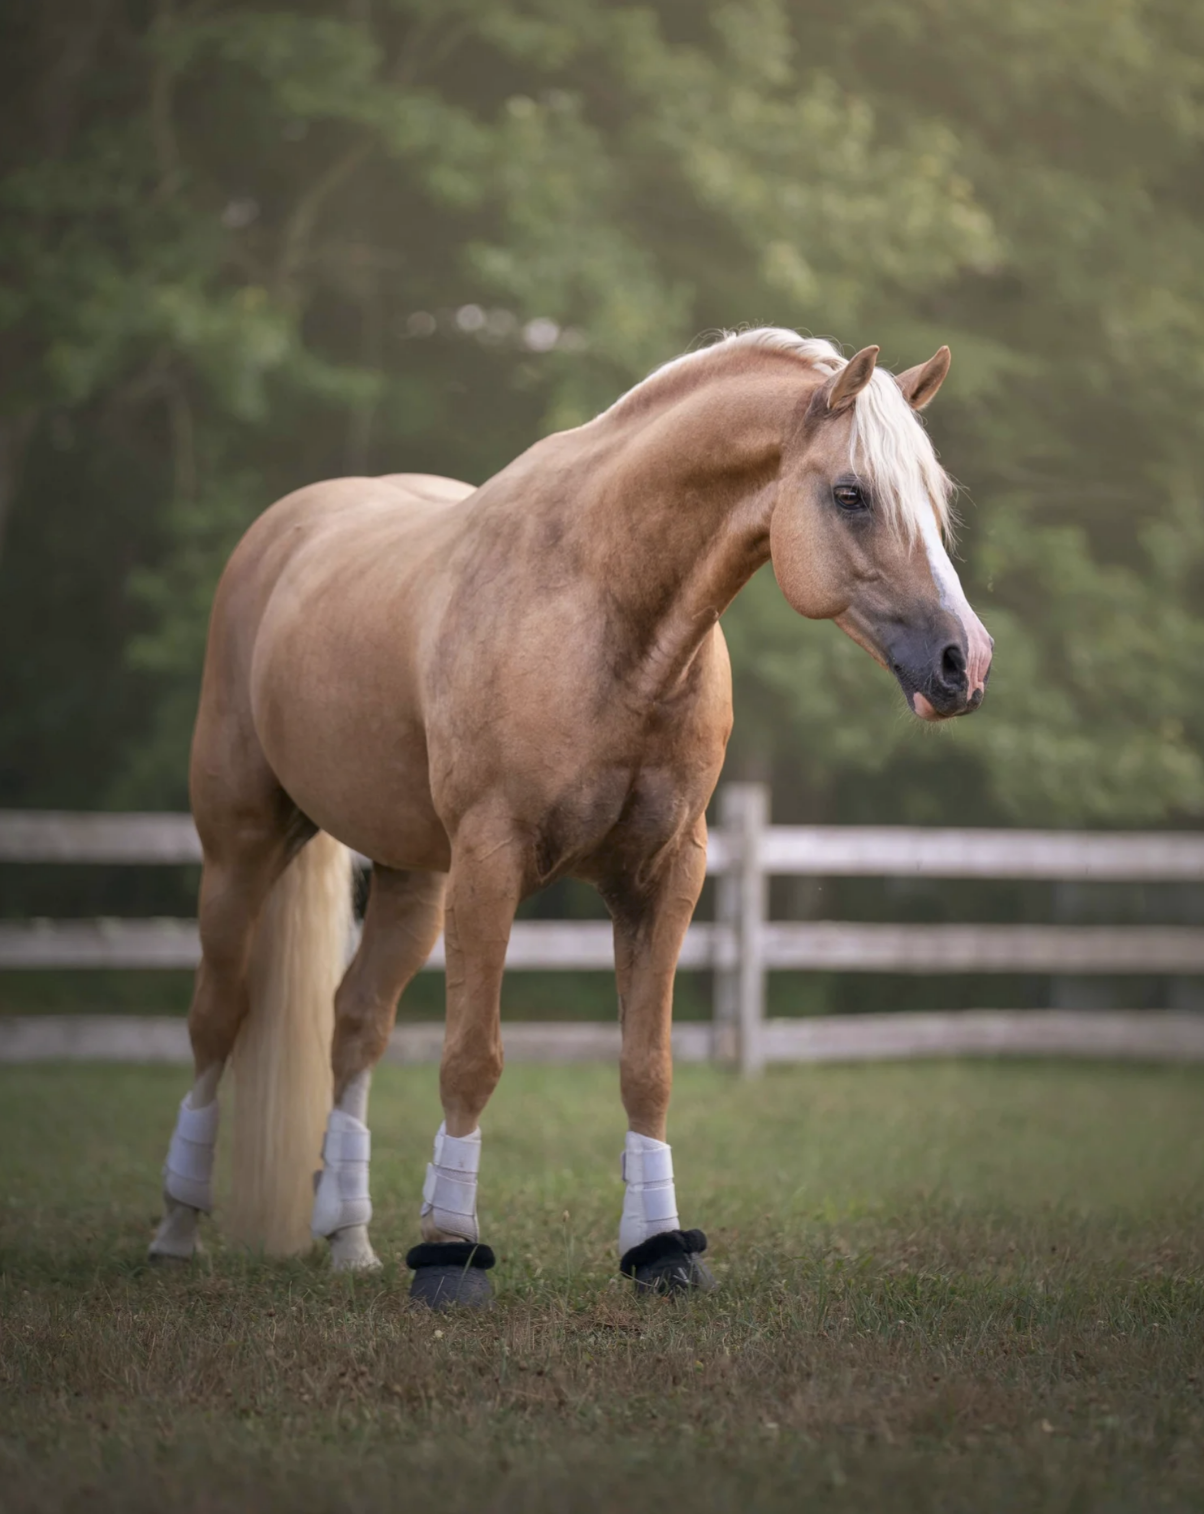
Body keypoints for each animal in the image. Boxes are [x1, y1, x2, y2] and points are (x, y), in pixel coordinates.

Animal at [149, 329, 991, 1305]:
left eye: (935, 499)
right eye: (852, 494)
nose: (964, 662)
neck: (606, 613)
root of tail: (286, 529)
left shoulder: (664, 874)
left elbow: (647, 1067)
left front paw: (660, 1248)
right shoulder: (492, 863)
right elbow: (472, 1058)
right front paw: (449, 1252)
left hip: (411, 879)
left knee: (355, 1025)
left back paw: (349, 1240)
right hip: (242, 843)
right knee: (218, 1016)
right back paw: (177, 1228)